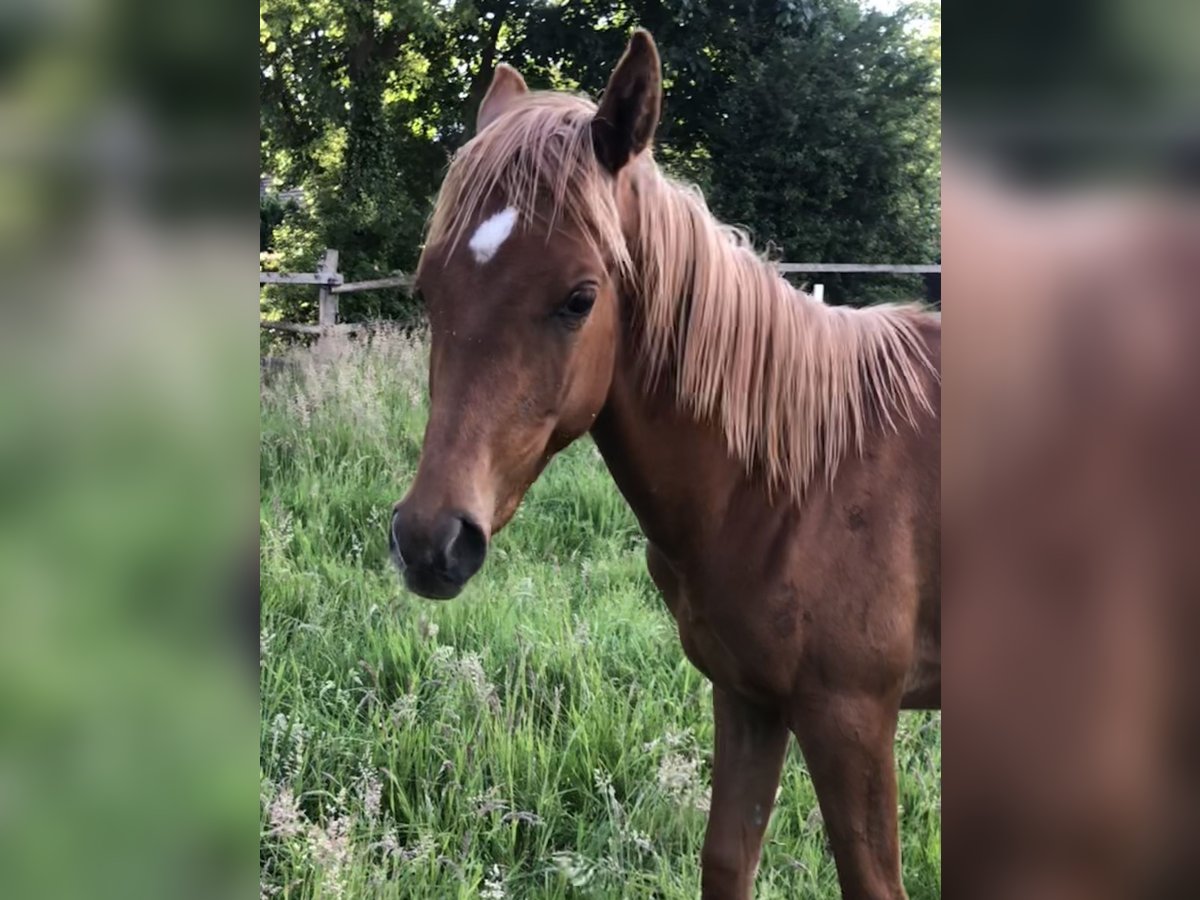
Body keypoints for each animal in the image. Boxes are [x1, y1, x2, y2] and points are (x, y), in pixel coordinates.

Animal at [388, 30, 940, 900]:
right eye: (428, 288)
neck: (799, 483)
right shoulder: (748, 700)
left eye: (580, 298)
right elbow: (727, 860)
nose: (428, 541)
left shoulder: (851, 717)